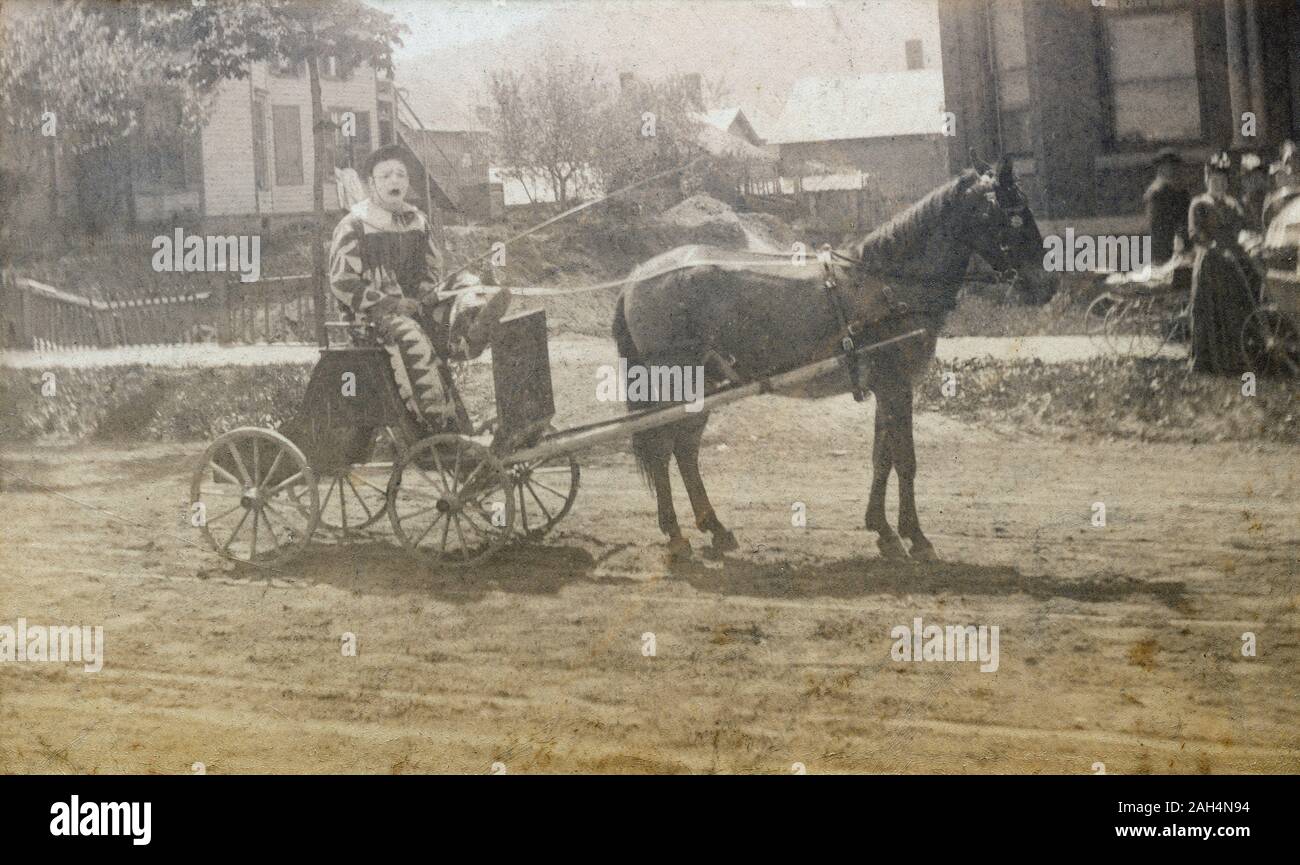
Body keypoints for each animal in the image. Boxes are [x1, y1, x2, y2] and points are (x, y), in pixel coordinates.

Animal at [611, 156, 1055, 559]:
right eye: (1015, 216)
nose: (1046, 285)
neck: (888, 285)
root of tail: (637, 275)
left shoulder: (887, 389)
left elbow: (882, 458)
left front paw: (883, 530)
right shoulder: (896, 386)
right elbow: (905, 460)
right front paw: (916, 536)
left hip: (702, 386)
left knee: (684, 452)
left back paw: (715, 529)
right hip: (675, 381)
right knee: (661, 450)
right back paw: (676, 535)